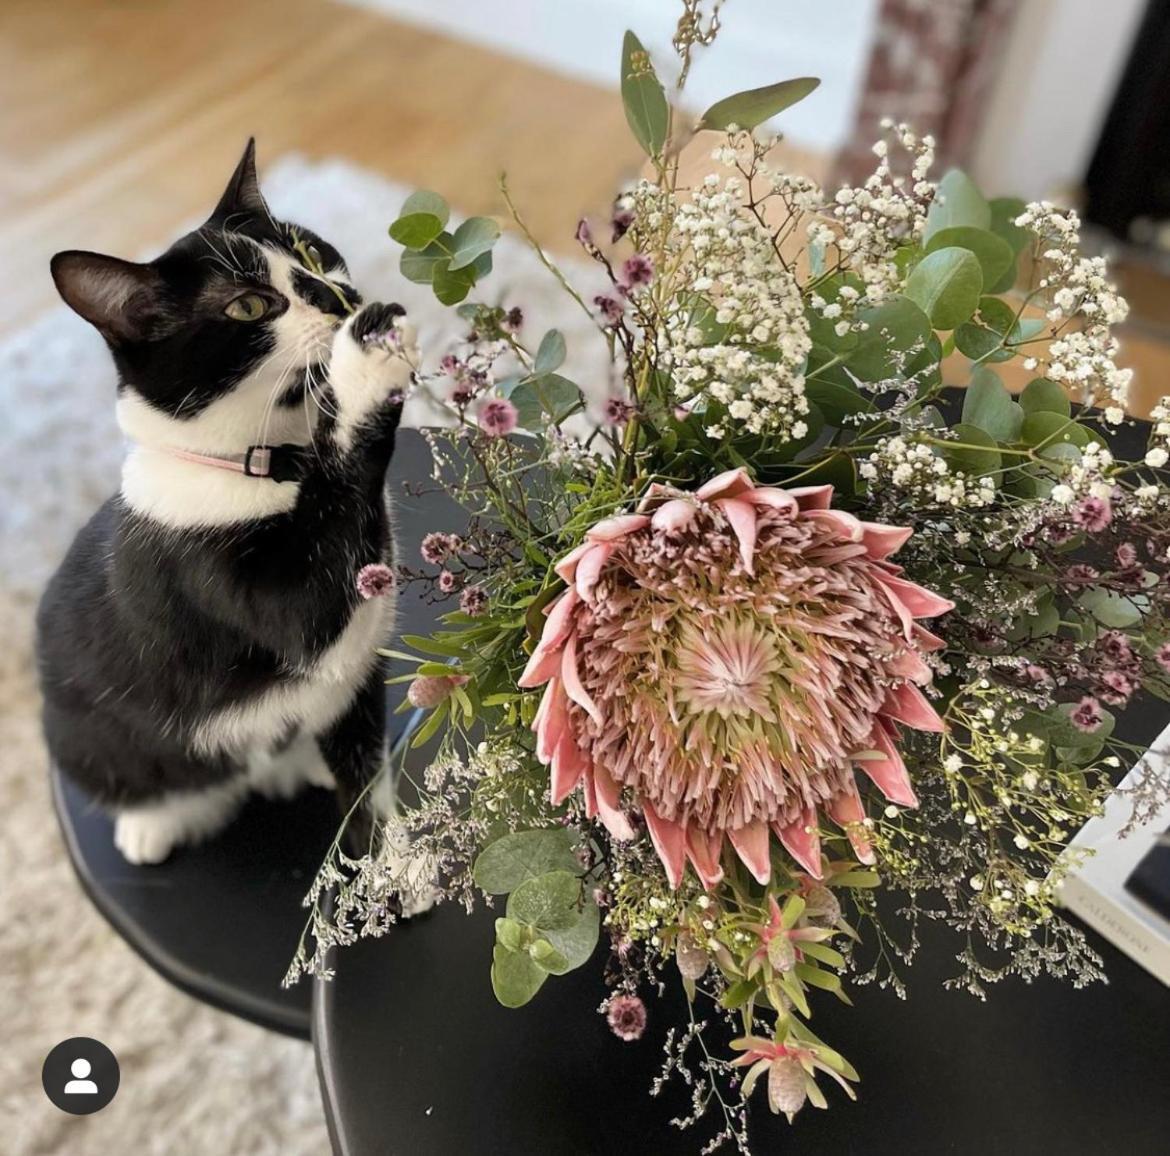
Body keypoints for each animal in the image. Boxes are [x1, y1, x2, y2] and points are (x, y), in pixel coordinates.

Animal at [37, 137, 416, 865]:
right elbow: (315, 614)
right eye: (247, 306)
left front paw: (389, 852)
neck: (272, 470)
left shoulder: (353, 677)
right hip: (82, 738)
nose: (336, 294)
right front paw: (368, 361)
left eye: (311, 251)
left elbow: (363, 760)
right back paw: (151, 826)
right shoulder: (206, 578)